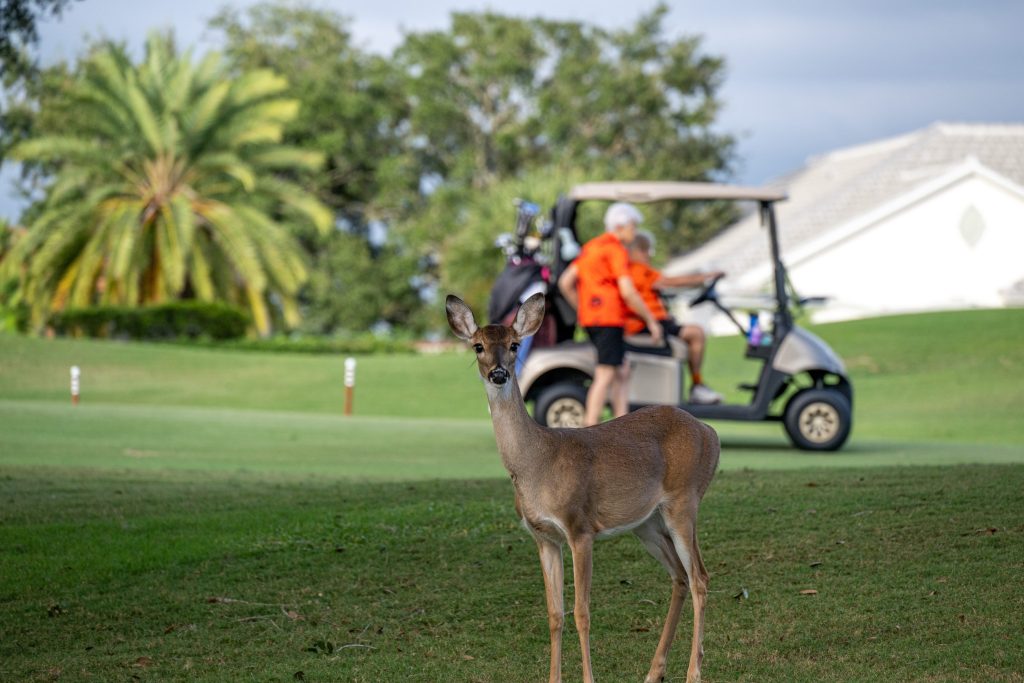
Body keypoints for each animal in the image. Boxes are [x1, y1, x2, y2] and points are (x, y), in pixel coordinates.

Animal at [445, 292, 720, 683]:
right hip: (647, 523)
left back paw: (693, 672)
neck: (537, 462)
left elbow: (582, 612)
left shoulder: (580, 527)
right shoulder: (543, 537)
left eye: (514, 345)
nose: (499, 373)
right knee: (680, 577)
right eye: (478, 346)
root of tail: (711, 433)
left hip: (685, 500)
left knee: (699, 576)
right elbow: (554, 614)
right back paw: (654, 672)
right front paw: (553, 678)